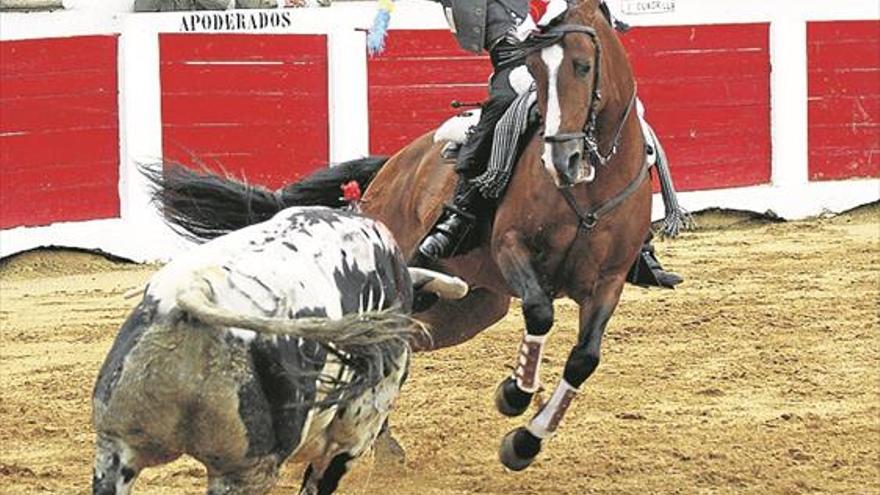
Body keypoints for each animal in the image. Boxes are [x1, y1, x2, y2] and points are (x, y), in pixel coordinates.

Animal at [155, 0, 652, 472]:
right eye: (532, 69)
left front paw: (524, 443)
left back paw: (379, 441)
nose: (561, 161)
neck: (588, 190)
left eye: (583, 66)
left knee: (404, 342)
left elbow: (584, 358)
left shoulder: (608, 280)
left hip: (471, 303)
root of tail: (390, 168)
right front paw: (512, 395)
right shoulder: (511, 247)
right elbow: (540, 312)